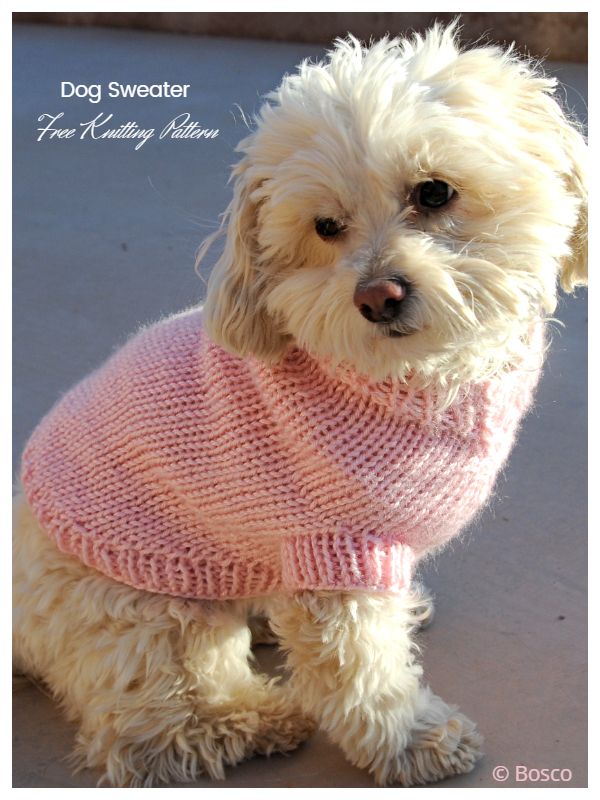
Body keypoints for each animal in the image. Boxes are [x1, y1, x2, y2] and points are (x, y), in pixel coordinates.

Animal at [12, 26, 584, 788]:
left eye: (434, 192)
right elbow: (360, 672)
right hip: (149, 613)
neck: (410, 378)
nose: (377, 296)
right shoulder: (332, 551)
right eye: (326, 225)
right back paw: (254, 720)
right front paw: (411, 740)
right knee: (149, 734)